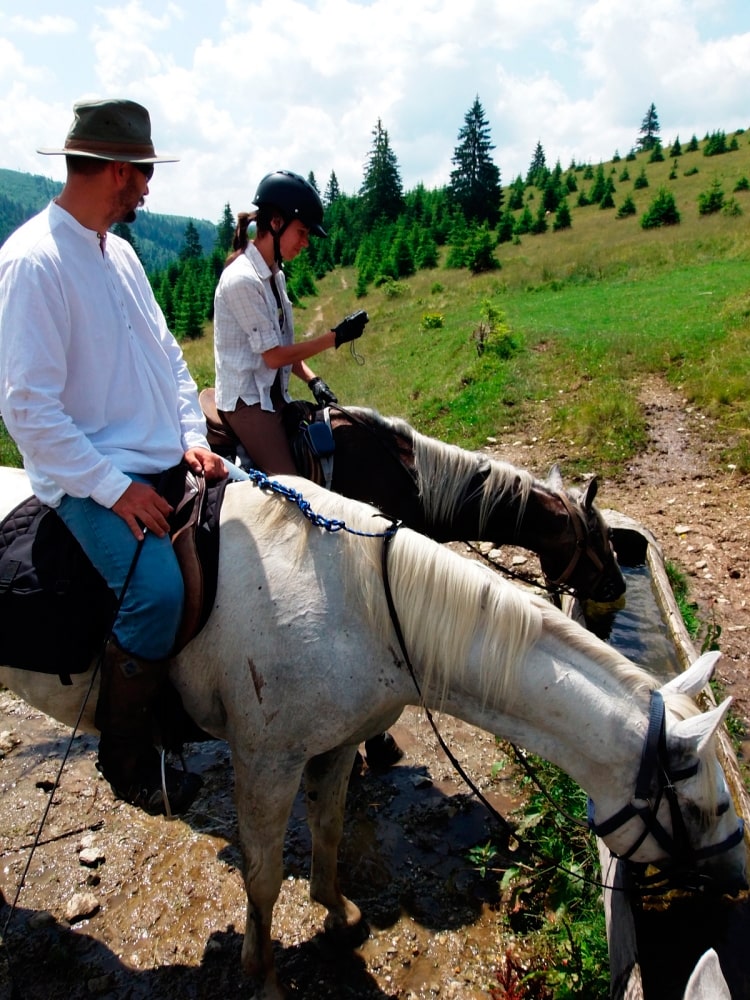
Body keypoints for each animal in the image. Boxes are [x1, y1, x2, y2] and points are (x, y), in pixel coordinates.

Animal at [0, 470, 748, 1000]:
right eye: (710, 806)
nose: (739, 878)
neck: (361, 611)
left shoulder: (332, 747)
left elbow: (329, 835)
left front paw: (337, 912)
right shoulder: (266, 762)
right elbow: (263, 879)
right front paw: (263, 976)